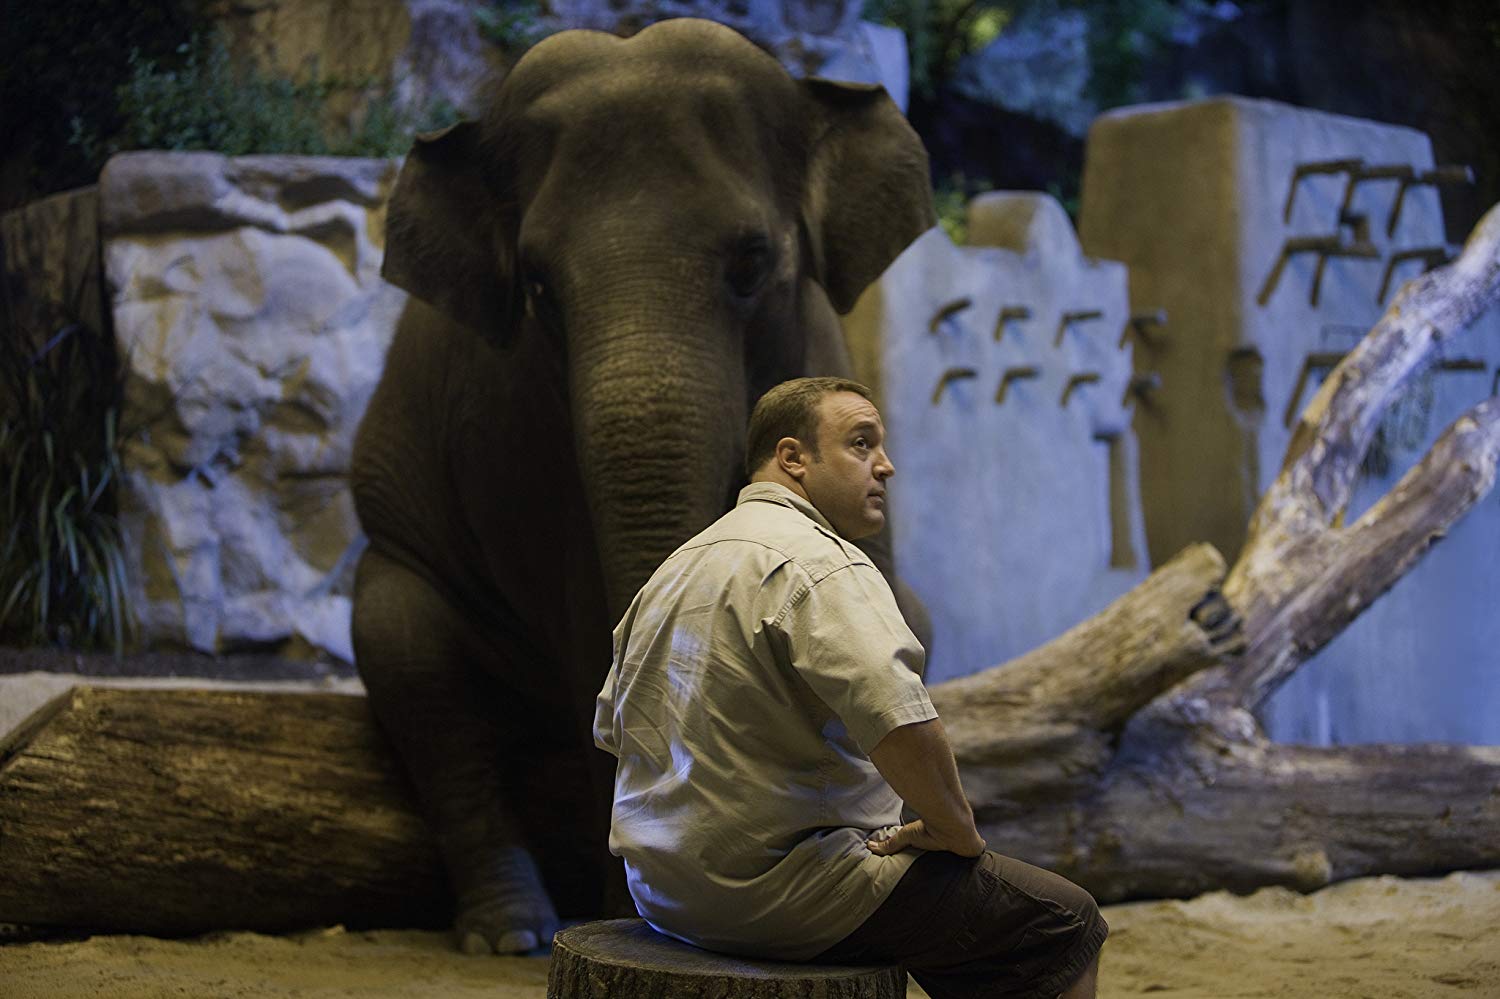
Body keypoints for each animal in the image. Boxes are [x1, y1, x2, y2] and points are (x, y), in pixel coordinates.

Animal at [351, 13, 936, 948]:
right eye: (538, 286)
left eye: (752, 262)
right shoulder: (513, 430)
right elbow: (574, 607)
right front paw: (623, 909)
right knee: (408, 656)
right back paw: (512, 930)